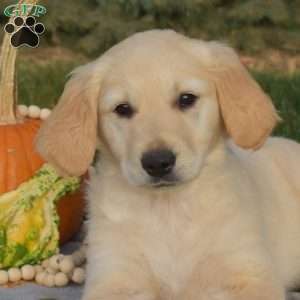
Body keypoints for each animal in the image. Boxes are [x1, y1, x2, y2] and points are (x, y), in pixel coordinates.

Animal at [37, 28, 300, 300]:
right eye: (122, 109)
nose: (157, 163)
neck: (169, 211)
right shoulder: (115, 276)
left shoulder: (250, 274)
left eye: (186, 99)